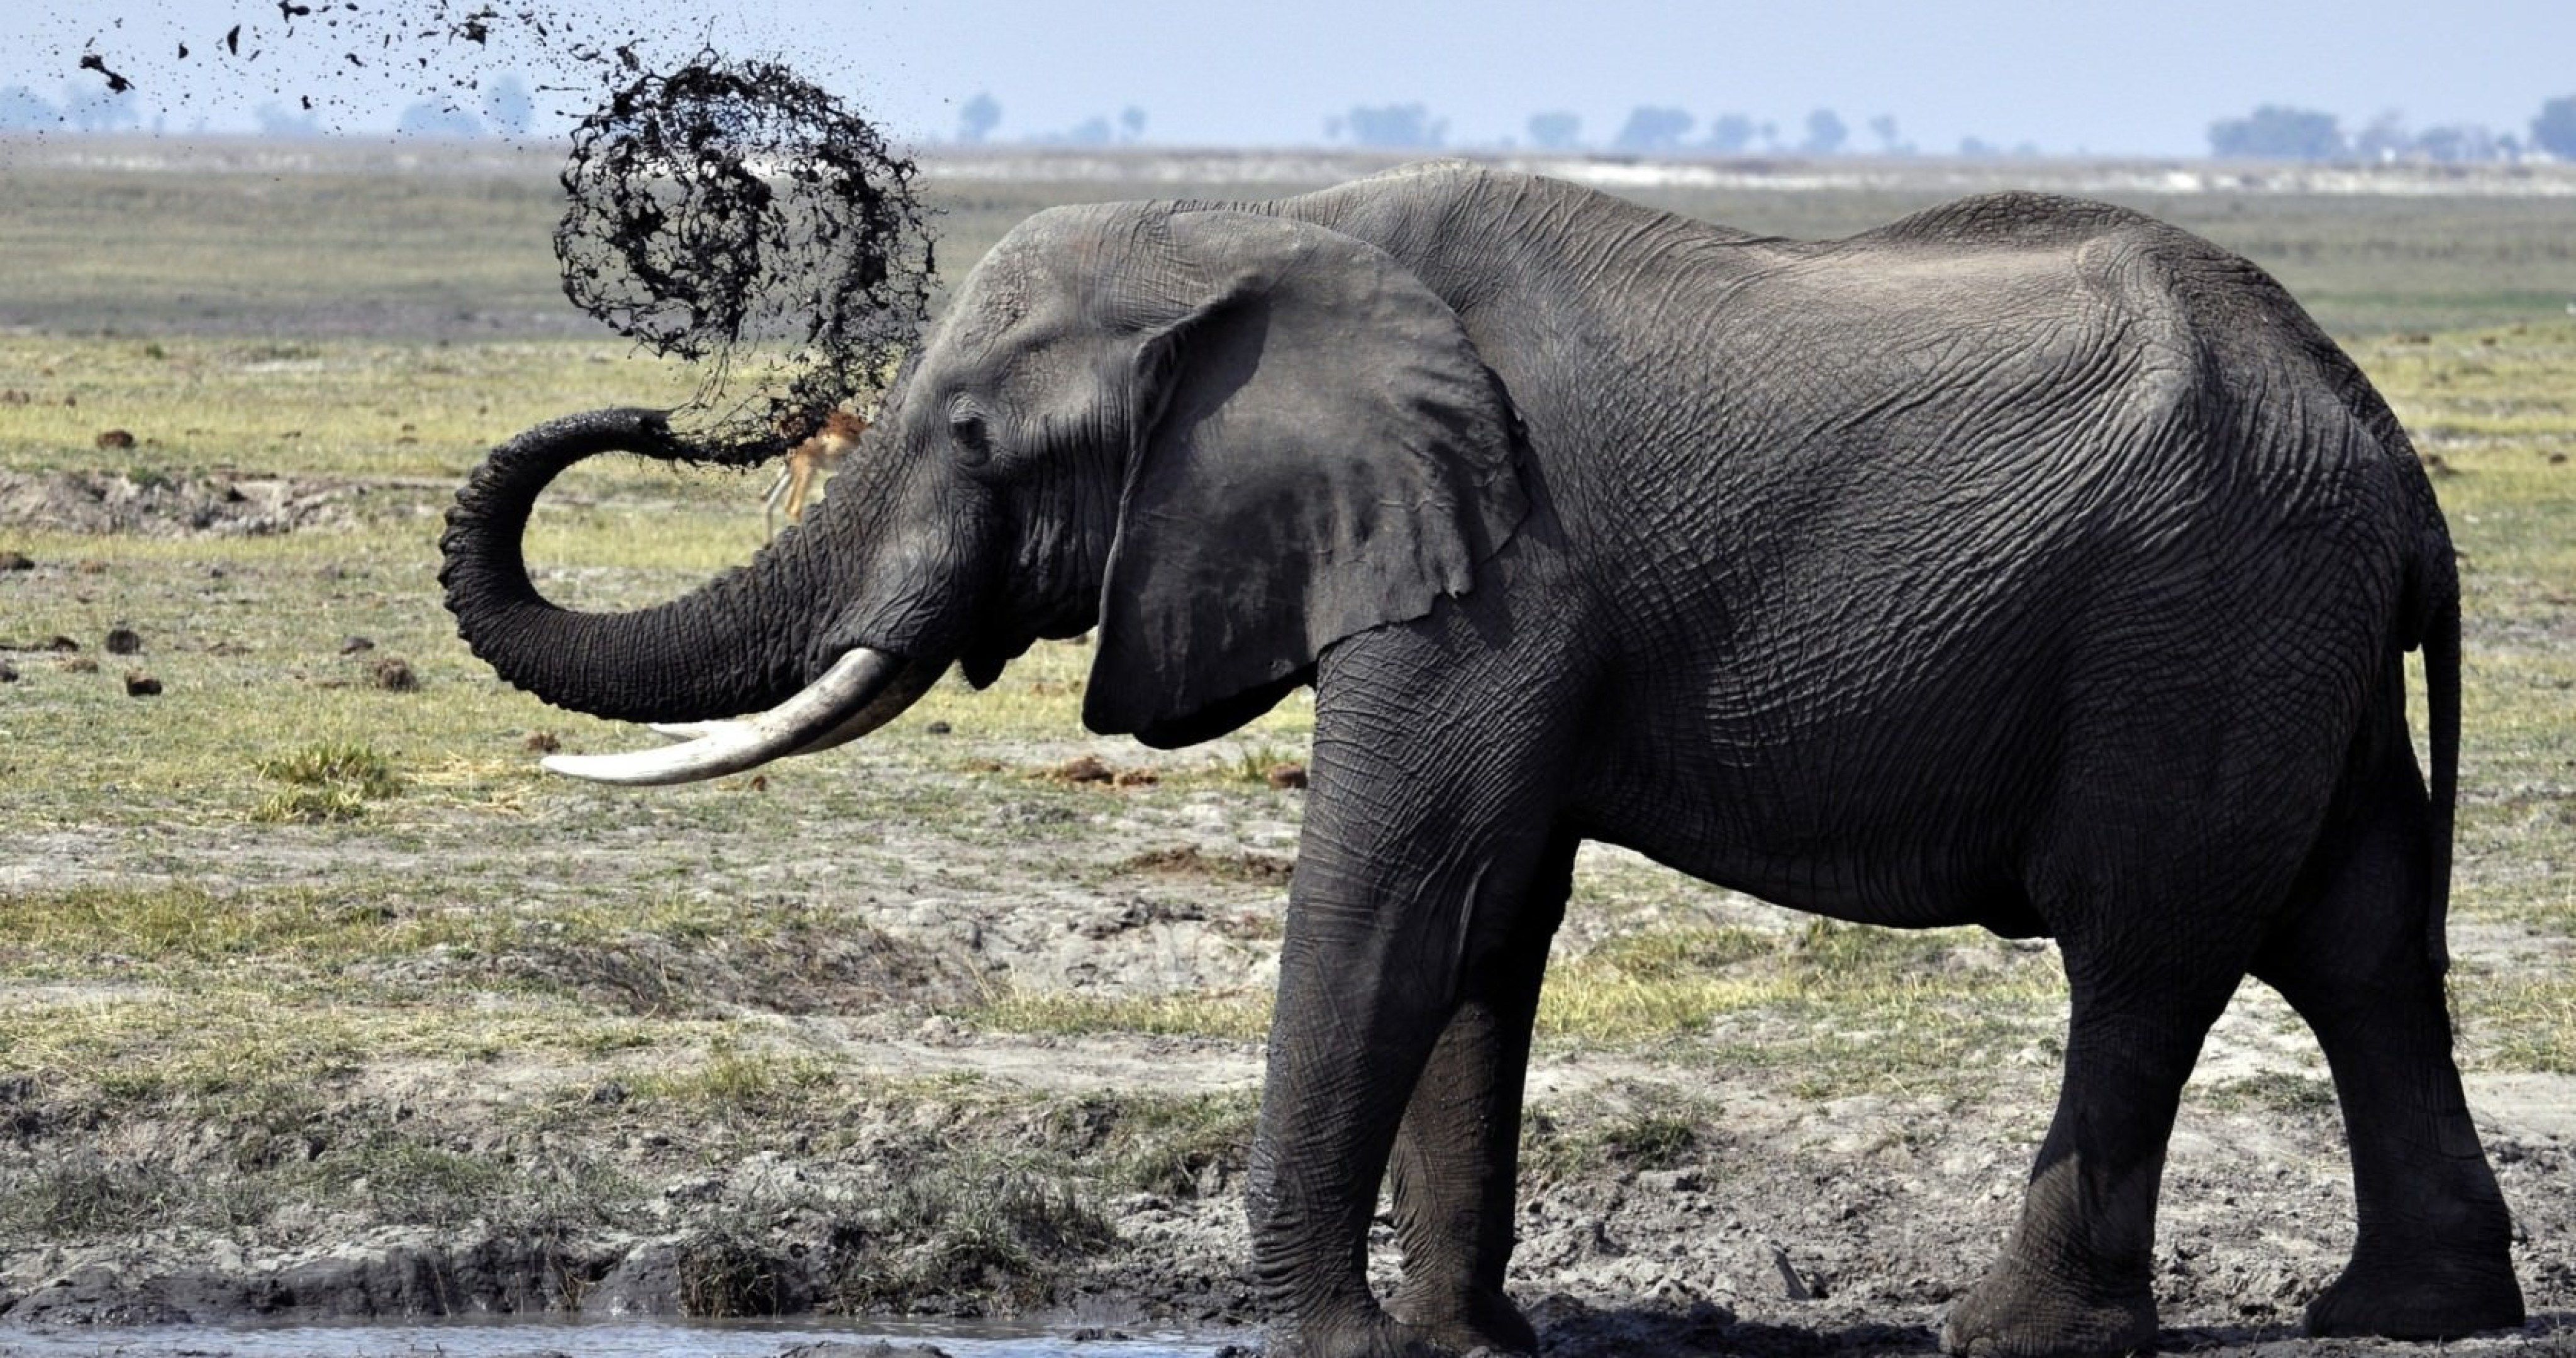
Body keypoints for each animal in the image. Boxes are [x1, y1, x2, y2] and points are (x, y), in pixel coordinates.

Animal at [438, 162, 2514, 1358]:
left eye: (970, 435)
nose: (672, 412)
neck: (1270, 231)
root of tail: (2394, 461)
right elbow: (1485, 918)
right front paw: (1450, 1351)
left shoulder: (1496, 561)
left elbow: (1399, 886)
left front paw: (1314, 1347)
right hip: (2282, 625)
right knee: (2357, 944)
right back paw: (2401, 1318)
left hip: (2202, 617)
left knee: (2148, 948)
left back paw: (2016, 1339)